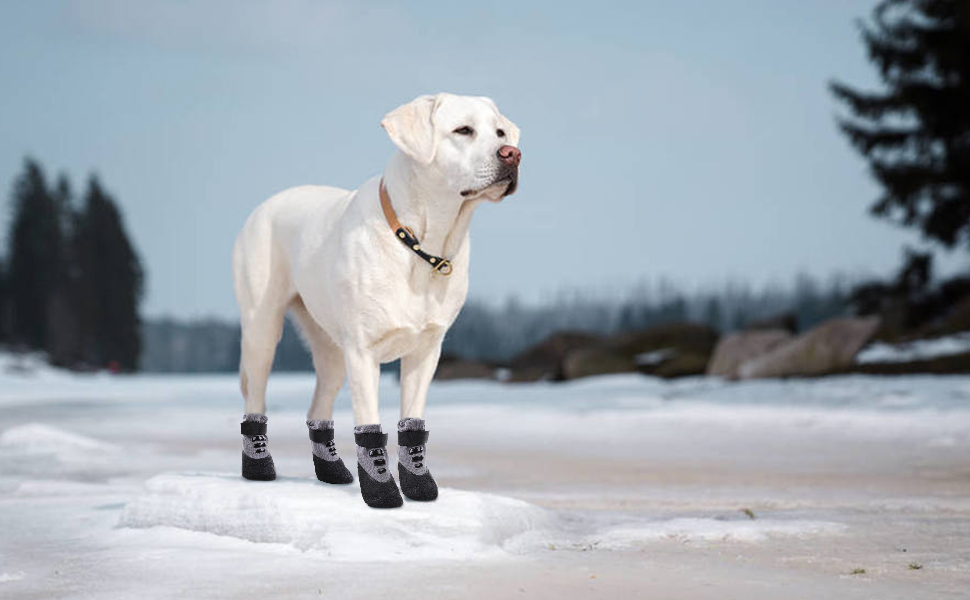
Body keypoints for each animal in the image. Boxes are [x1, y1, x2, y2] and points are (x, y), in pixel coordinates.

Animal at [231, 94, 520, 506]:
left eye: (500, 133)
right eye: (463, 130)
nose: (513, 154)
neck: (421, 242)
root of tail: (265, 204)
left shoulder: (427, 350)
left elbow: (412, 423)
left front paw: (418, 484)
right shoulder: (363, 350)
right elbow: (370, 426)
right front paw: (381, 493)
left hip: (332, 348)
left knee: (318, 406)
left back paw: (332, 471)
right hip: (262, 327)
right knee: (255, 397)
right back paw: (258, 468)